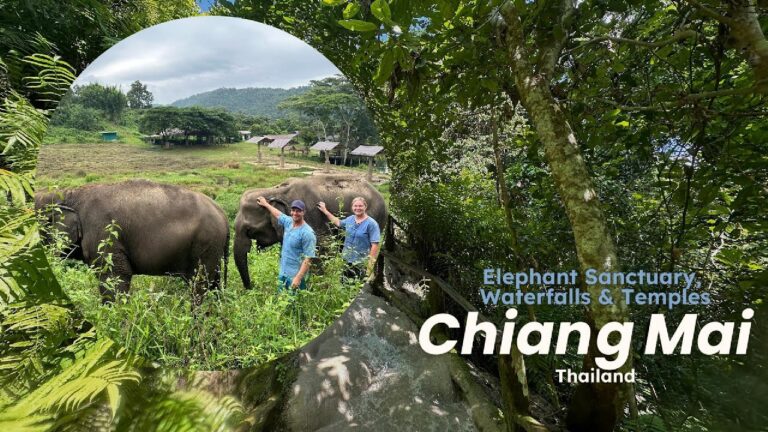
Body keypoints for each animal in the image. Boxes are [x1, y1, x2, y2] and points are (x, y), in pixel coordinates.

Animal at [35, 179, 229, 303]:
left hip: (205, 245)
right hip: (214, 250)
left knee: (199, 285)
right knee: (214, 284)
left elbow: (115, 277)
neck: (70, 192)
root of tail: (223, 214)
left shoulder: (104, 234)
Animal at [234, 175, 387, 289]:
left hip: (376, 219)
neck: (276, 190)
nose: (251, 287)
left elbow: (322, 251)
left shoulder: (312, 217)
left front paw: (315, 288)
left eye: (249, 229)